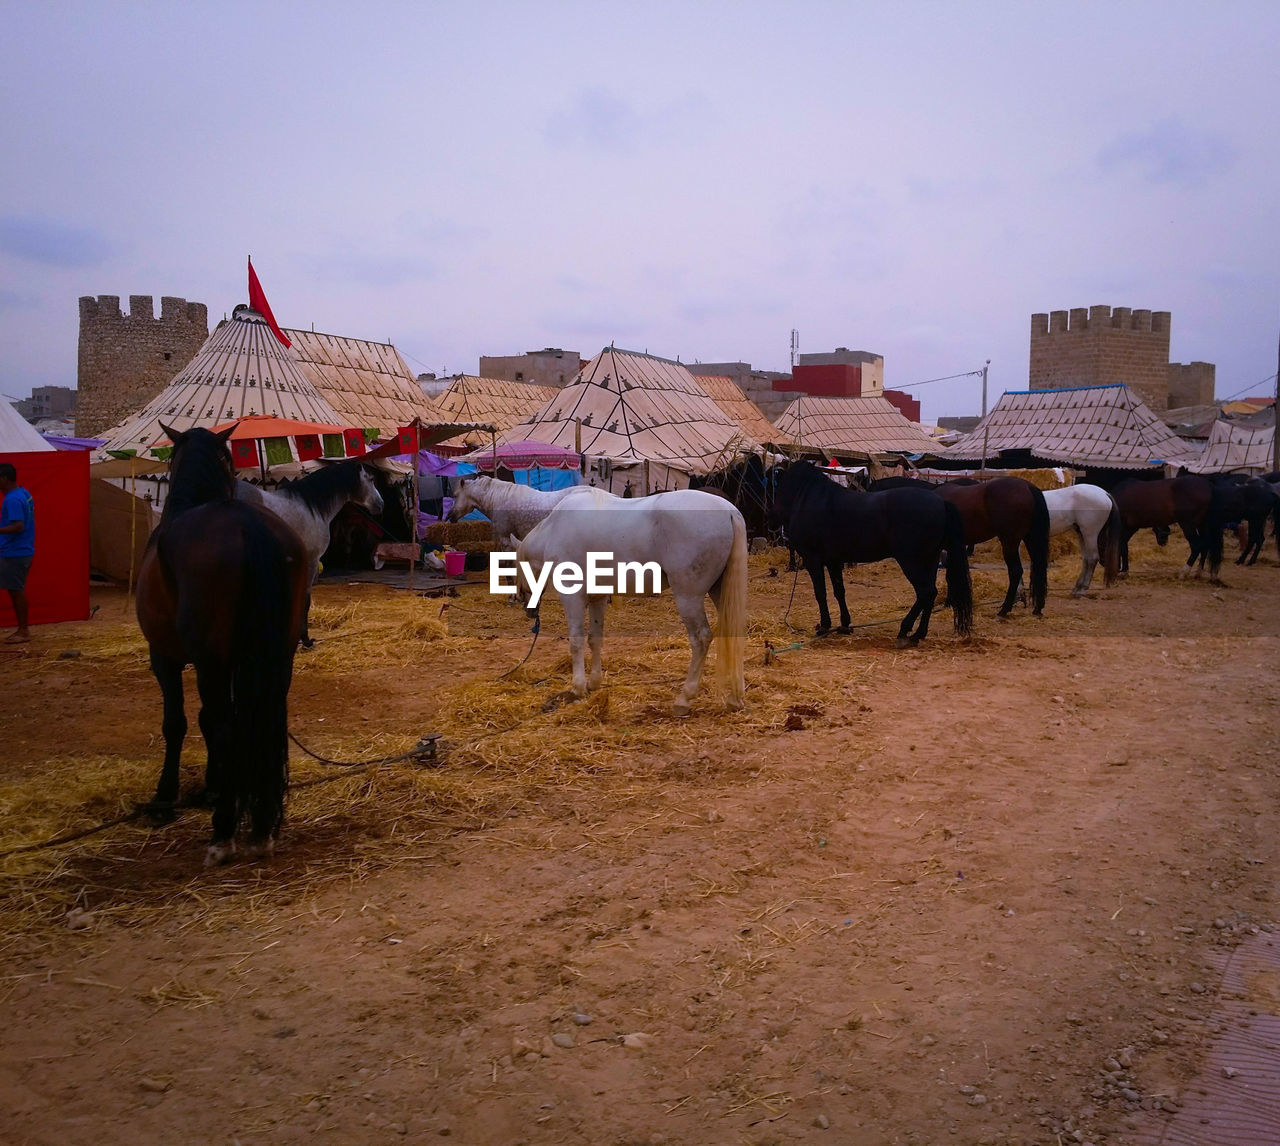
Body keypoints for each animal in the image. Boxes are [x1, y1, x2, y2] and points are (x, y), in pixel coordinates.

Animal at [235, 463, 381, 645]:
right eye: (371, 479)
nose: (381, 504)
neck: (312, 509)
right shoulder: (311, 560)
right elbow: (305, 599)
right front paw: (305, 639)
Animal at [512, 491, 747, 717]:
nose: (526, 606)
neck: (553, 530)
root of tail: (729, 511)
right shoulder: (598, 598)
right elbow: (594, 639)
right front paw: (593, 683)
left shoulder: (573, 597)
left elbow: (576, 642)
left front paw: (577, 688)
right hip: (719, 593)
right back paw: (735, 698)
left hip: (688, 598)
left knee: (701, 638)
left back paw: (684, 700)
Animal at [768, 460, 967, 650]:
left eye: (772, 481)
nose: (772, 521)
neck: (808, 499)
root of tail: (940, 502)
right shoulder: (833, 561)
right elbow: (839, 591)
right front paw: (844, 625)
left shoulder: (813, 560)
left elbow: (820, 593)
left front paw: (824, 626)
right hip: (930, 559)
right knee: (930, 595)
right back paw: (918, 634)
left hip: (911, 561)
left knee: (926, 592)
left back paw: (904, 631)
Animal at [931, 476, 1049, 619]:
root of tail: (1027, 486)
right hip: (1030, 538)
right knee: (1038, 566)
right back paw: (1037, 608)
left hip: (1010, 542)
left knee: (1015, 571)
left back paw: (1004, 610)